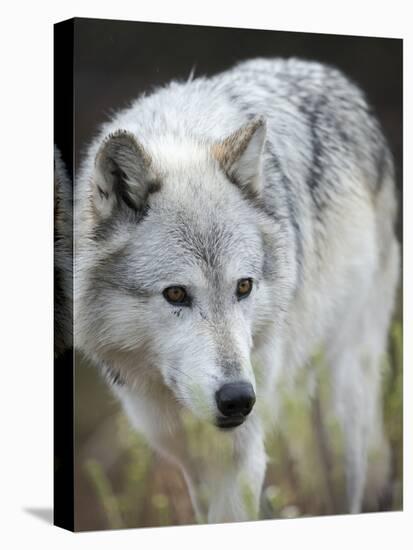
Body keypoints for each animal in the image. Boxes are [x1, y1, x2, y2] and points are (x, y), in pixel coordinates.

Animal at [73, 58, 400, 524]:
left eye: (243, 286)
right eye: (176, 294)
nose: (238, 399)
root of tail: (330, 74)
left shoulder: (239, 459)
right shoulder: (192, 461)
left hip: (342, 412)